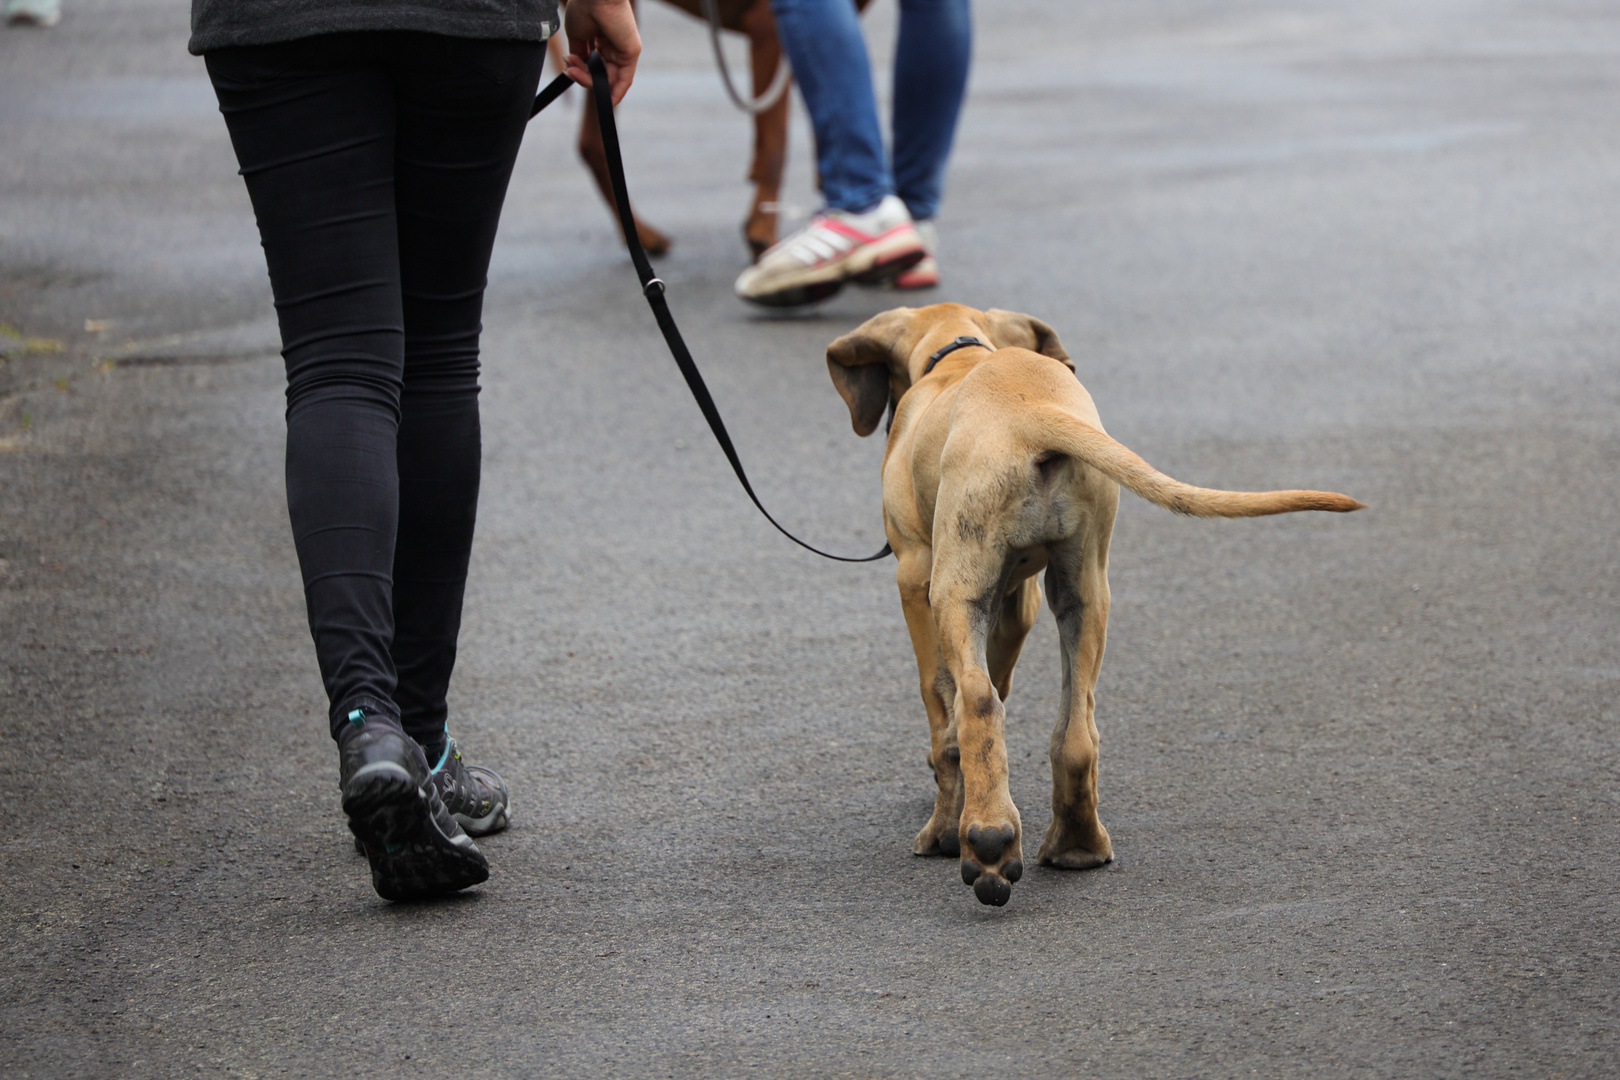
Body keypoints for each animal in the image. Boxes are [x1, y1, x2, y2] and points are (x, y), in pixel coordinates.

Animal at [822, 304, 1367, 906]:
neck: (958, 353)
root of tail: (1030, 413)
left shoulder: (916, 577)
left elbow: (944, 708)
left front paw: (945, 817)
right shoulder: (1019, 597)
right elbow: (996, 680)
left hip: (955, 590)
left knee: (977, 704)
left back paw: (981, 840)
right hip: (1084, 588)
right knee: (1075, 732)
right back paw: (1076, 845)